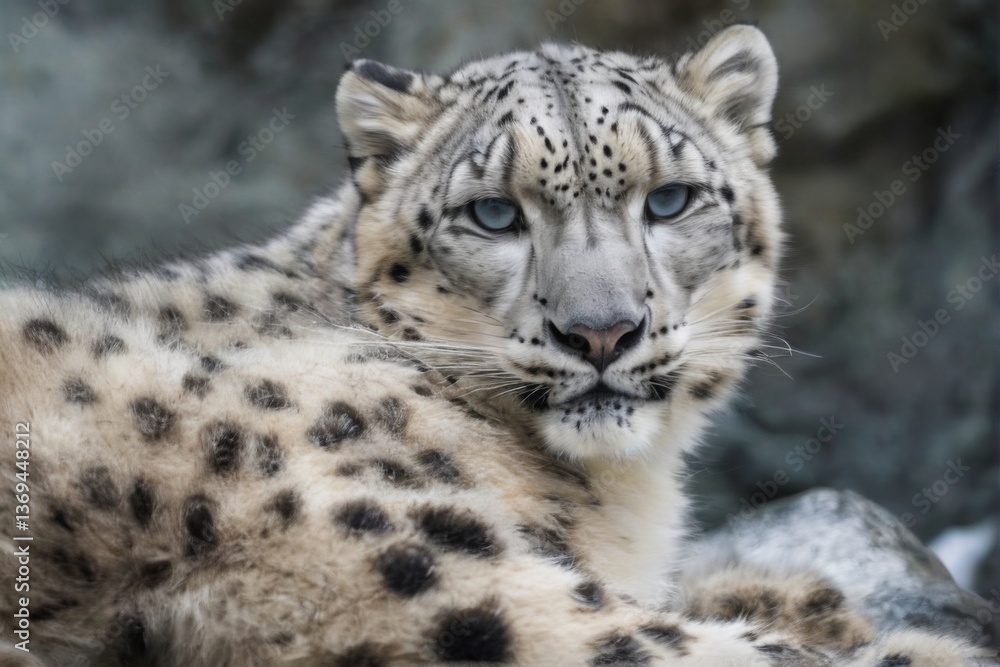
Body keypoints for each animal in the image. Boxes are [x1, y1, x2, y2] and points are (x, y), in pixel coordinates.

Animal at [1, 25, 996, 666]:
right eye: (492, 213)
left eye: (670, 199)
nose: (601, 330)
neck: (622, 493)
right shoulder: (418, 571)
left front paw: (796, 594)